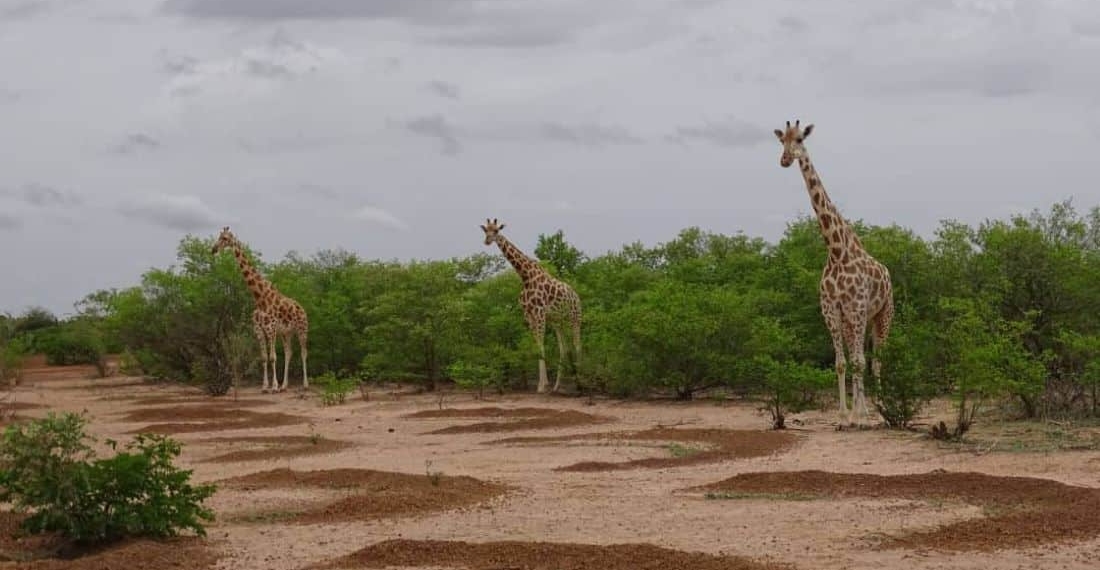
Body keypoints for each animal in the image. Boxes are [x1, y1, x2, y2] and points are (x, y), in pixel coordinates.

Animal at [210, 226, 310, 393]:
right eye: (219, 236)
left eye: (225, 238)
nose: (214, 249)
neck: (260, 298)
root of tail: (302, 308)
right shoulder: (259, 330)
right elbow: (264, 357)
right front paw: (265, 386)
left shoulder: (271, 328)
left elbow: (273, 357)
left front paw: (274, 386)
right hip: (287, 333)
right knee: (289, 353)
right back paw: (284, 385)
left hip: (302, 328)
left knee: (303, 352)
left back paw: (305, 384)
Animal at [481, 218, 585, 393]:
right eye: (485, 230)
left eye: (496, 230)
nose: (487, 241)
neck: (525, 277)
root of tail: (576, 296)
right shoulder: (528, 314)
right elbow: (537, 346)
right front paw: (544, 384)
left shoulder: (539, 312)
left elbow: (541, 345)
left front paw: (542, 386)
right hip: (558, 322)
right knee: (563, 349)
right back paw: (557, 386)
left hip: (575, 317)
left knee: (577, 344)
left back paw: (580, 381)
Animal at [774, 121, 893, 429]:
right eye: (782, 141)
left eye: (800, 139)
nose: (785, 159)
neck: (837, 250)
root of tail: (888, 274)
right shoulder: (831, 309)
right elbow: (842, 362)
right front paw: (844, 417)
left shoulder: (857, 307)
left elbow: (861, 362)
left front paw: (859, 417)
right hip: (856, 319)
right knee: (861, 356)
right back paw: (865, 411)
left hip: (883, 313)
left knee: (877, 359)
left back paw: (881, 411)